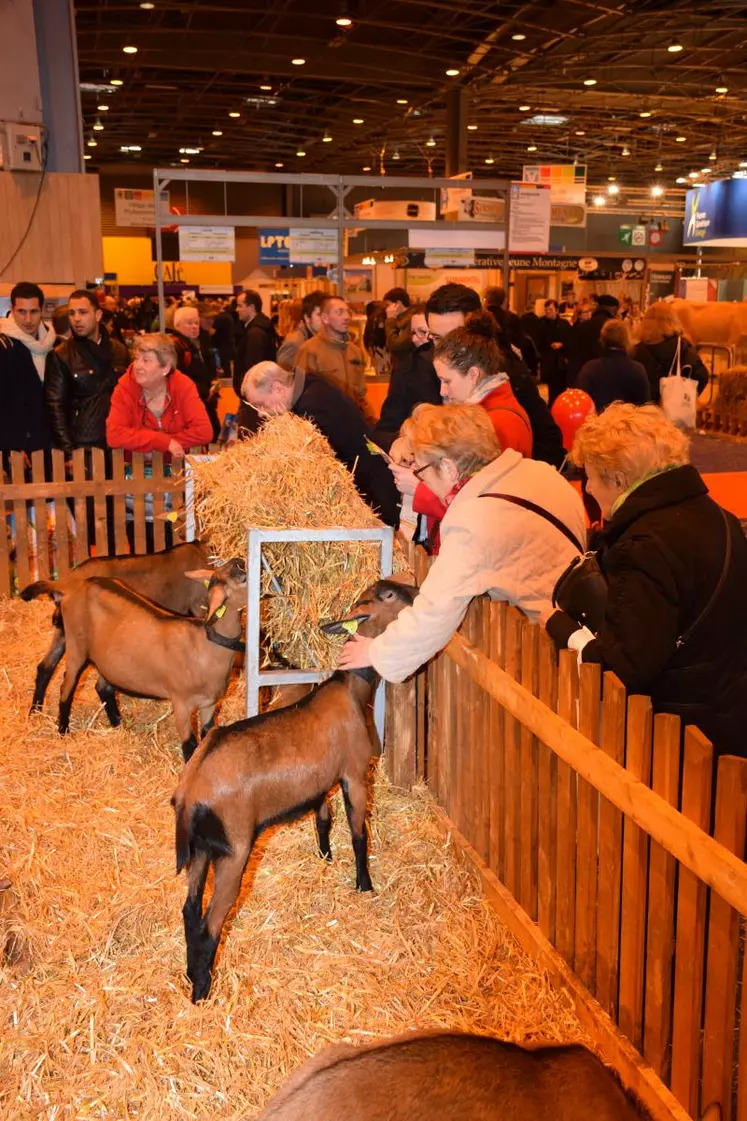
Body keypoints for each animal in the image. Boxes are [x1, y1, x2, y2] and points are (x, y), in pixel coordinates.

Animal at [56, 556, 246, 757]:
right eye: (244, 579)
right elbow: (189, 744)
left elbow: (206, 735)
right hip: (76, 645)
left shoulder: (209, 704)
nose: (240, 559)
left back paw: (118, 726)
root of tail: (78, 587)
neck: (204, 646)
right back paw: (63, 731)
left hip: (108, 661)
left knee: (103, 688)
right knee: (67, 687)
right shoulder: (181, 703)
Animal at [170, 578, 412, 999]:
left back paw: (190, 975)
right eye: (388, 596)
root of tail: (190, 792)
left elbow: (323, 818)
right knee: (210, 922)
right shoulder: (353, 772)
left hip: (201, 851)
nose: (415, 592)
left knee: (189, 910)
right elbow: (358, 831)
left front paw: (325, 857)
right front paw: (364, 885)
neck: (351, 689)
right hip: (233, 850)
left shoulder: (322, 782)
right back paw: (202, 991)